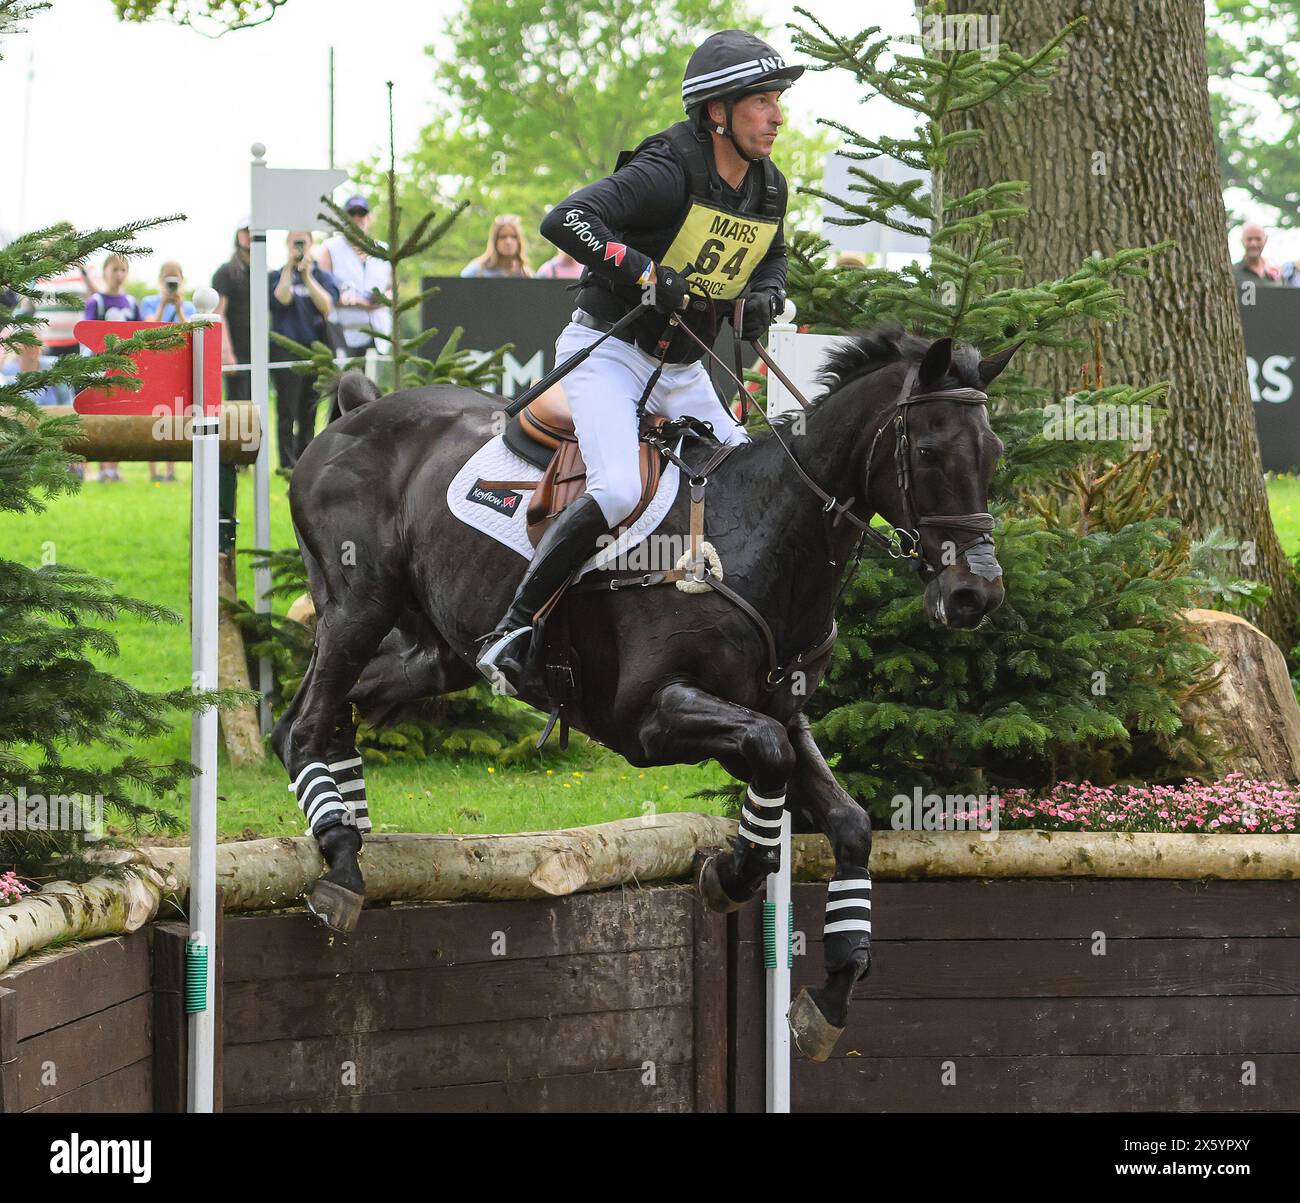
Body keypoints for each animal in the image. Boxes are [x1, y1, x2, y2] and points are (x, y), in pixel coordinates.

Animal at [269, 323, 1013, 1056]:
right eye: (928, 450)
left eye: (995, 453)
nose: (974, 595)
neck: (763, 533)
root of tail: (357, 412)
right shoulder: (652, 720)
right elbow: (768, 755)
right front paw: (732, 874)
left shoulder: (777, 711)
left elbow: (849, 820)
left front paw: (833, 990)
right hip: (360, 603)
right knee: (303, 722)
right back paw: (340, 860)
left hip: (435, 651)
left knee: (326, 713)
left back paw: (350, 829)